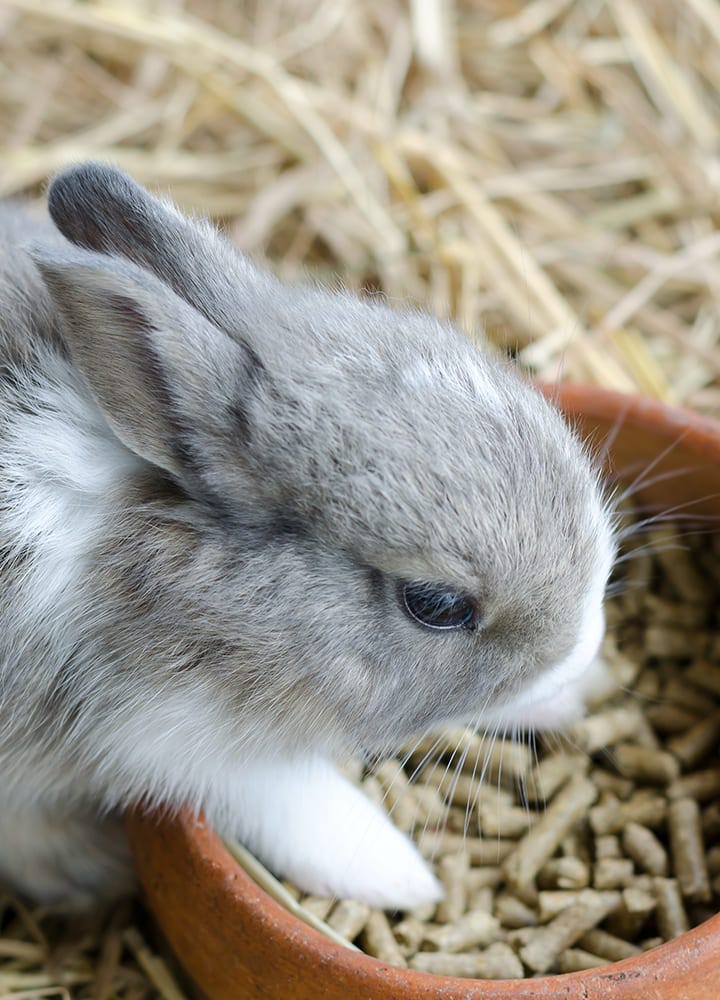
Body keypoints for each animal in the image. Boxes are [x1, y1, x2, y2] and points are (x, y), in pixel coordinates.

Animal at [0, 166, 616, 916]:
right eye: (436, 605)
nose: (582, 644)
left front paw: (579, 690)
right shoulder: (162, 736)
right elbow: (294, 801)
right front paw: (400, 877)